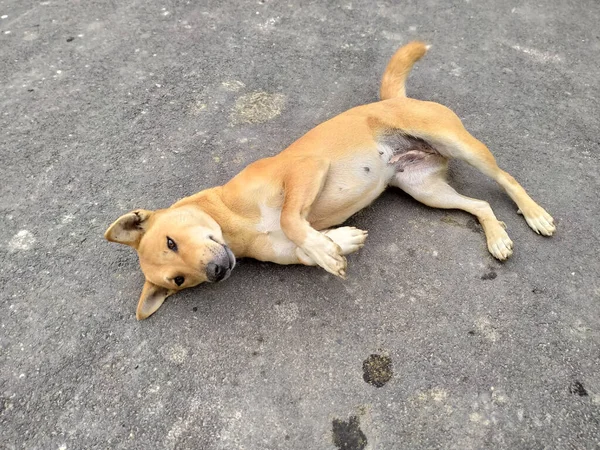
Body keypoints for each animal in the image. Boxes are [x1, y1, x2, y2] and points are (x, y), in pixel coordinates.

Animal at [105, 40, 556, 318]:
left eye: (171, 241)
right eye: (178, 280)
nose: (217, 271)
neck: (234, 222)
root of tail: (393, 98)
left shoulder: (306, 168)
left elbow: (291, 217)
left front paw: (326, 247)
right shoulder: (288, 246)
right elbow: (307, 244)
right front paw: (336, 244)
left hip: (459, 145)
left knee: (506, 179)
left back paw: (535, 214)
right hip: (425, 190)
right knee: (480, 204)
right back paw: (496, 237)